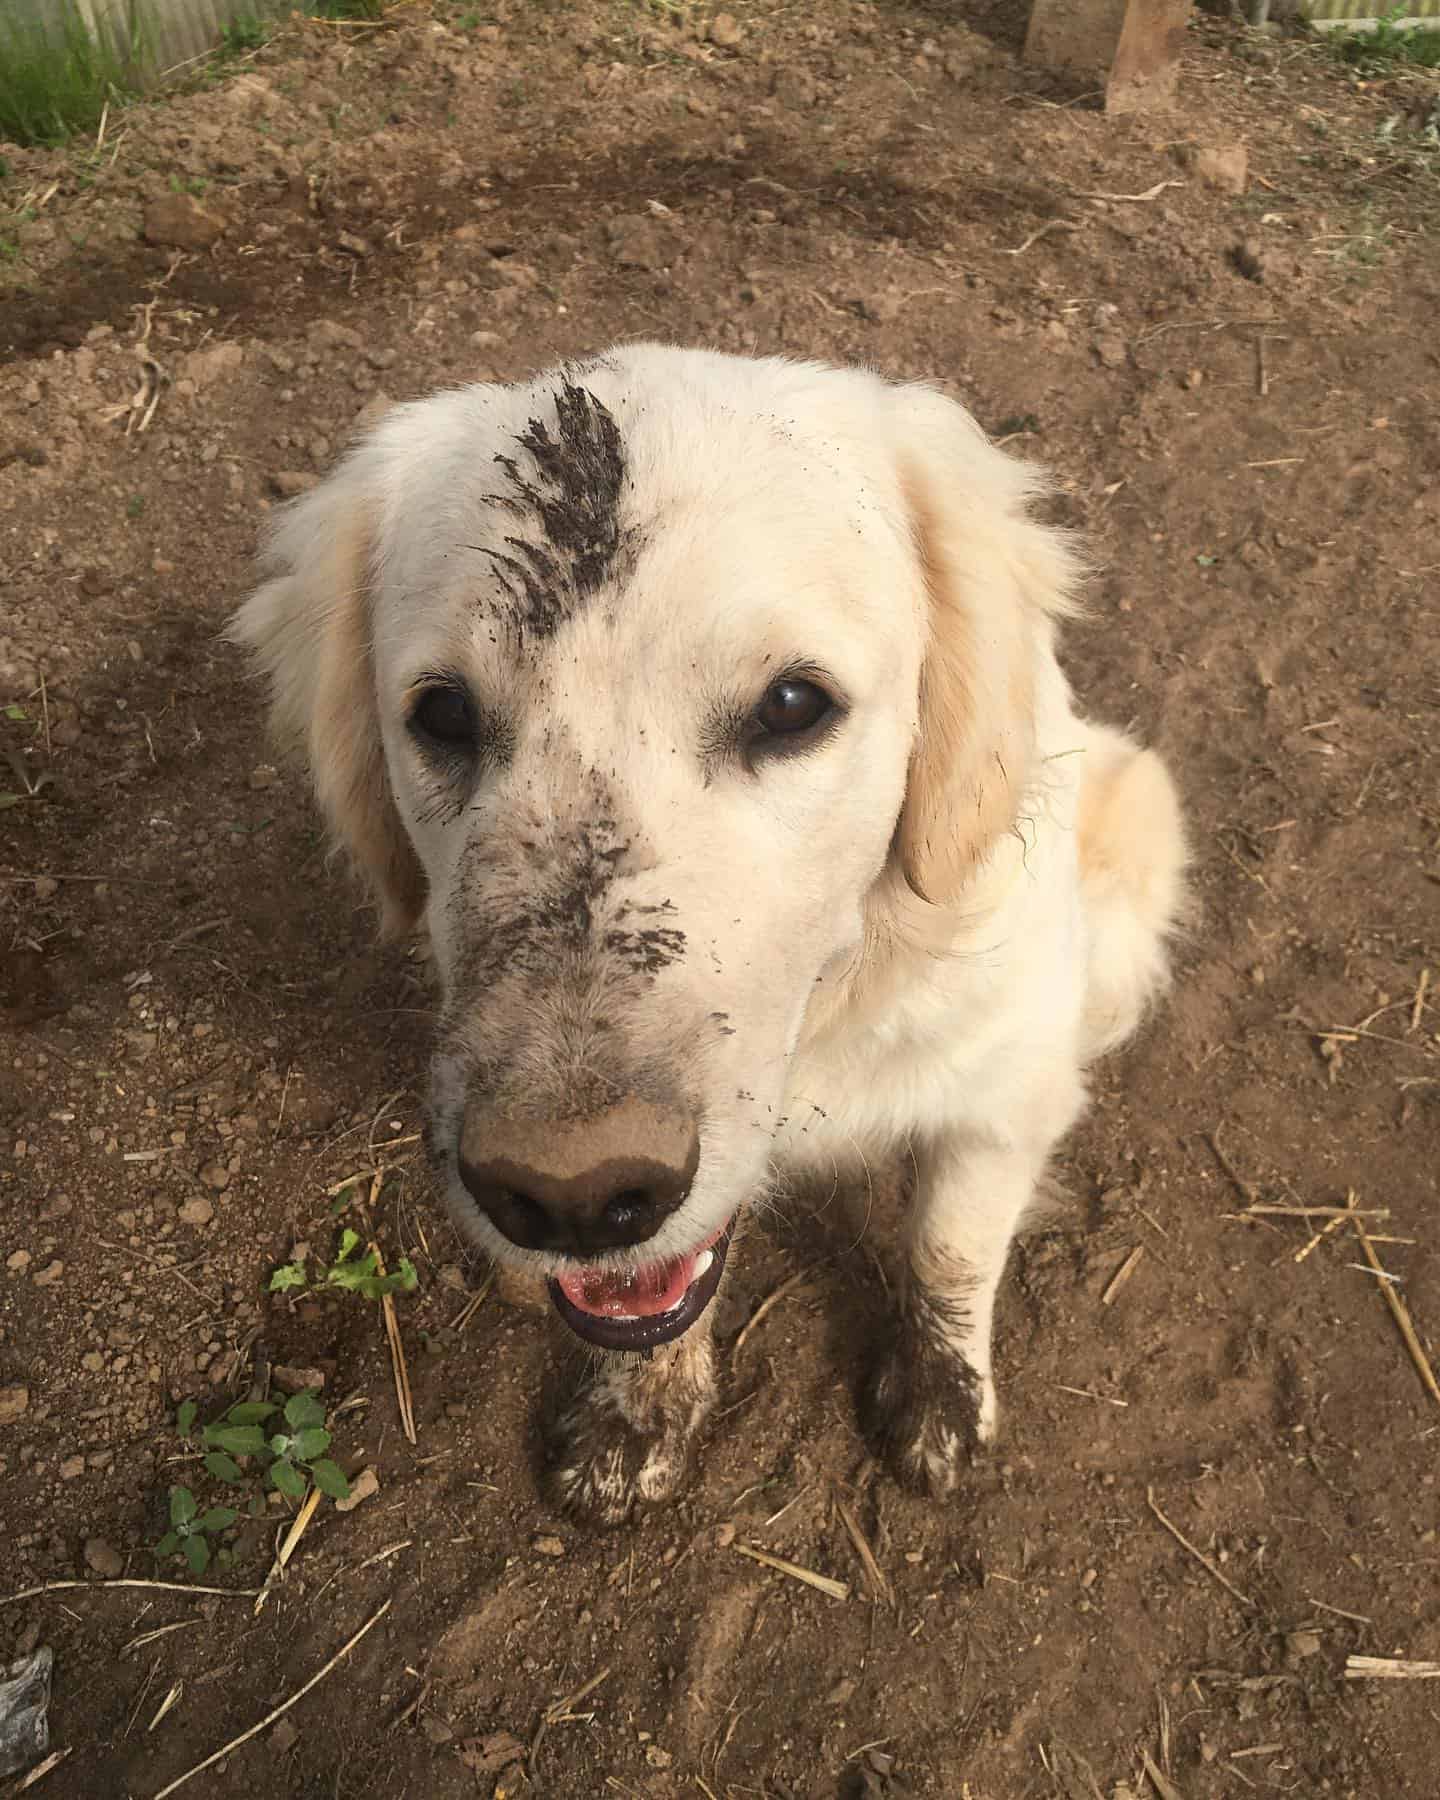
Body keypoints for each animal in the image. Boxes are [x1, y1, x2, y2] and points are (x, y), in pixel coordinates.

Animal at [230, 340, 1188, 1519]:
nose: (573, 1193)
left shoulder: (1003, 1095)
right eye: (443, 715)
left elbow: (951, 1249)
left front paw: (943, 1400)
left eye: (792, 705)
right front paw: (637, 1414)